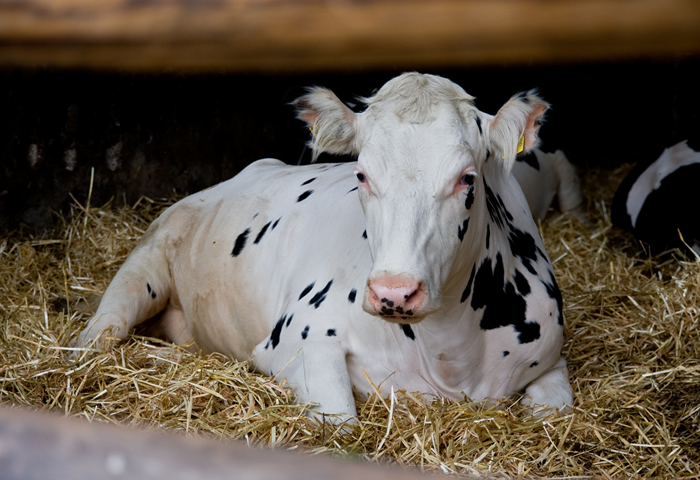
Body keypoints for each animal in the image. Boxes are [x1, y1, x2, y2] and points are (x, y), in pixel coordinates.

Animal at [78, 73, 576, 422]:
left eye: (467, 178)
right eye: (362, 174)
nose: (394, 292)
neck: (450, 354)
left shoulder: (551, 360)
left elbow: (555, 413)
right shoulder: (294, 342)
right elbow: (342, 423)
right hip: (149, 256)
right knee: (103, 329)